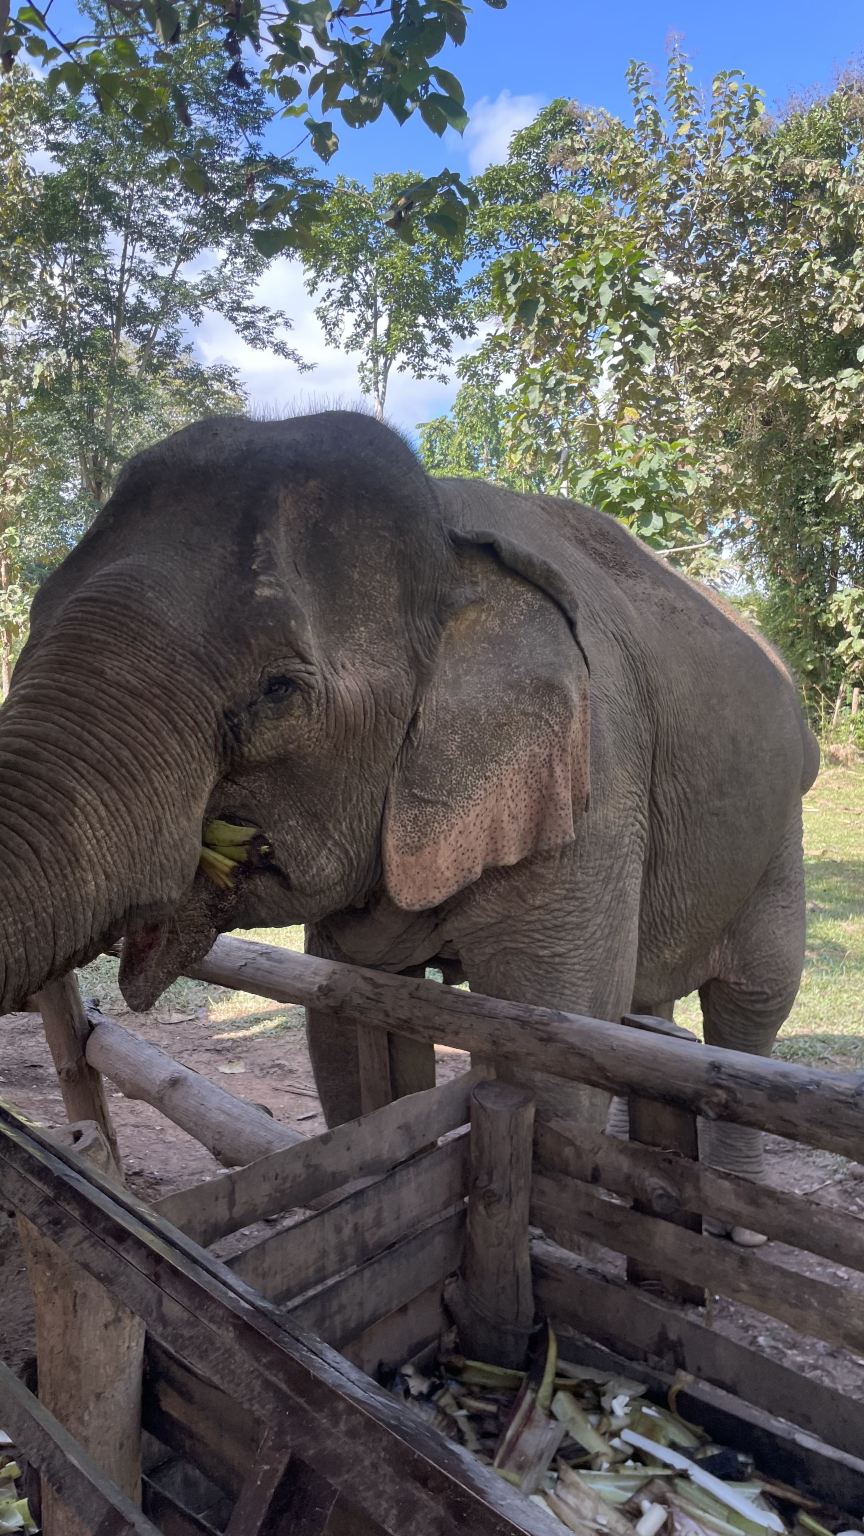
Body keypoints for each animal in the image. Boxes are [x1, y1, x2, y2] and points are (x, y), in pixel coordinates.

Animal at [0, 411, 818, 1242]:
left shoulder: (594, 778)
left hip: (781, 828)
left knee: (752, 1003)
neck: (445, 532)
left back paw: (737, 1222)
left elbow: (554, 1038)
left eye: (278, 691)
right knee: (645, 1009)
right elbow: (346, 1029)